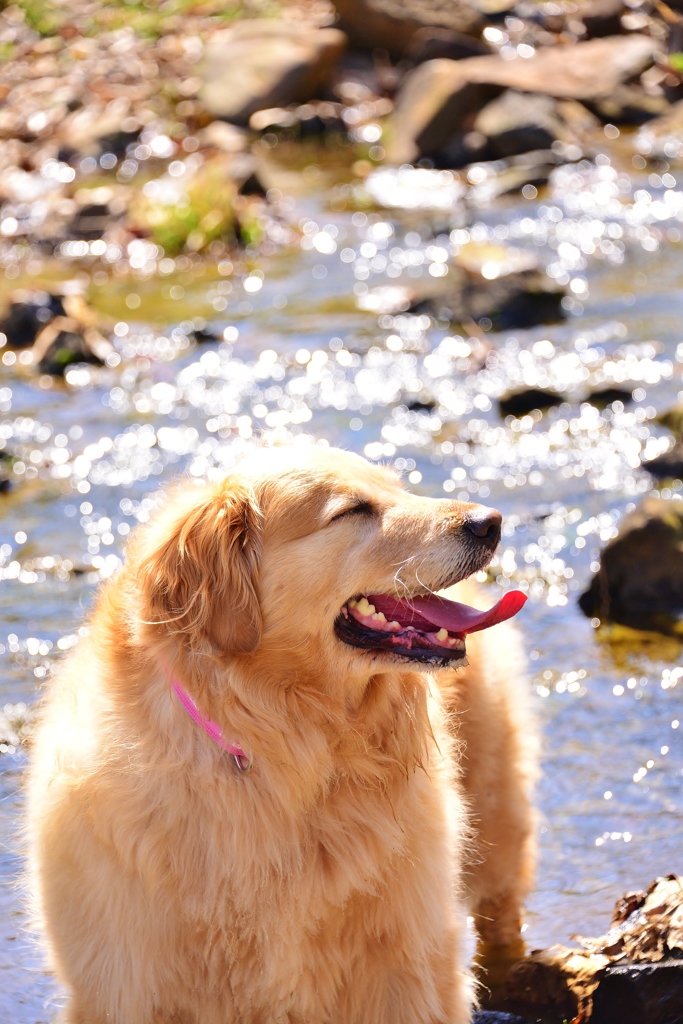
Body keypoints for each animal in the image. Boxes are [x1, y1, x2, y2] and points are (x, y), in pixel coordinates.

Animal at [26, 442, 536, 1024]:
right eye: (351, 510)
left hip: (496, 817)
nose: (490, 521)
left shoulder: (409, 967)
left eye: (399, 489)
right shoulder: (121, 984)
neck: (288, 750)